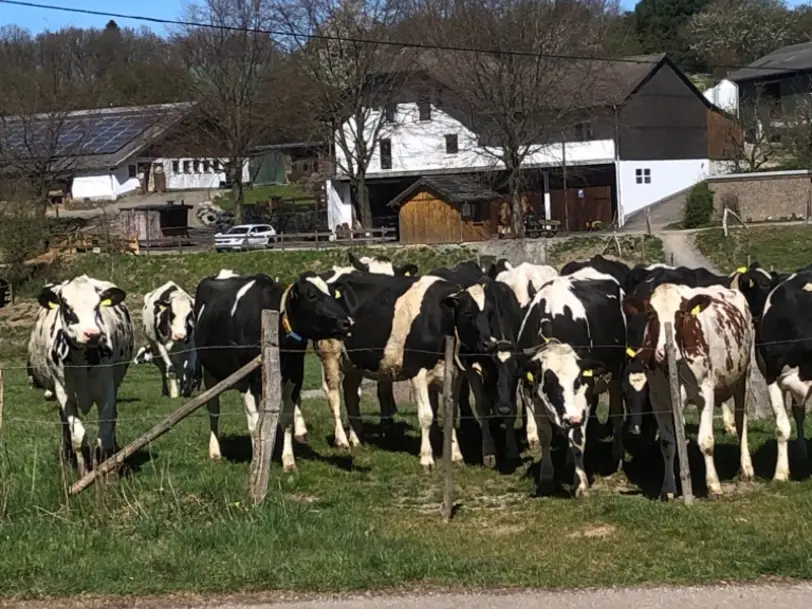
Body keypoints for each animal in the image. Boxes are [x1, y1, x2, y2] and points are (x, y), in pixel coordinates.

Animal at [26, 276, 133, 476]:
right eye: (67, 306)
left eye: (97, 305)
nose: (92, 334)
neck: (82, 361)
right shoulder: (64, 394)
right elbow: (78, 436)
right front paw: (84, 472)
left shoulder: (107, 391)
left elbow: (104, 434)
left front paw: (105, 470)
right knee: (65, 426)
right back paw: (67, 454)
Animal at [196, 270, 352, 470]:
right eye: (311, 295)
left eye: (333, 294)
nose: (347, 322)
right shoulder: (249, 381)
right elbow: (255, 424)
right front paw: (257, 462)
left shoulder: (295, 376)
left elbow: (286, 420)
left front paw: (288, 461)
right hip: (210, 375)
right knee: (214, 411)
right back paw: (215, 451)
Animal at [516, 274, 624, 496]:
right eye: (549, 382)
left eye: (577, 380)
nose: (573, 419)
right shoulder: (532, 393)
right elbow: (545, 435)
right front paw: (546, 476)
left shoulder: (585, 391)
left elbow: (577, 439)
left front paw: (580, 482)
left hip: (617, 373)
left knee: (617, 414)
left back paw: (616, 455)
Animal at [620, 282, 756, 496]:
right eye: (651, 314)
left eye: (681, 314)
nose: (665, 351)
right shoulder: (659, 400)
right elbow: (668, 443)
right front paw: (668, 488)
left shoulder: (706, 394)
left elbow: (706, 442)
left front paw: (713, 485)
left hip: (745, 376)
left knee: (741, 422)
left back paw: (746, 468)